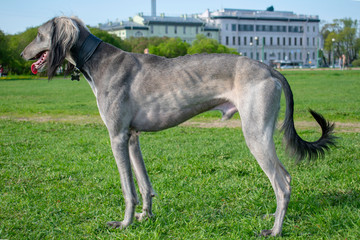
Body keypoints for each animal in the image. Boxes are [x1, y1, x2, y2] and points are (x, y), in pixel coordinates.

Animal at [21, 16, 334, 236]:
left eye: (38, 34)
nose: (22, 55)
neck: (98, 60)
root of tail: (270, 68)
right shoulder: (131, 137)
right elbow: (144, 184)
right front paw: (145, 217)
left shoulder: (117, 137)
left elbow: (127, 188)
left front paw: (124, 223)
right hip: (262, 134)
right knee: (286, 178)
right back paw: (274, 216)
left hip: (255, 134)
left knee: (281, 184)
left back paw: (276, 230)